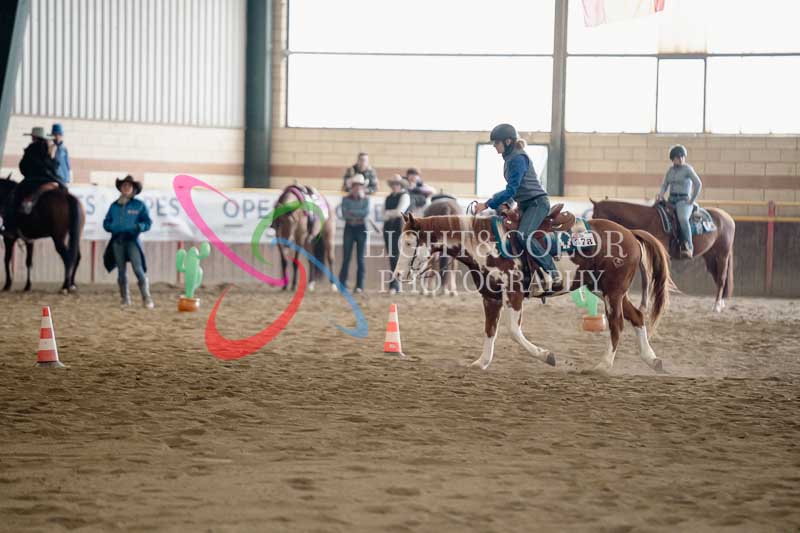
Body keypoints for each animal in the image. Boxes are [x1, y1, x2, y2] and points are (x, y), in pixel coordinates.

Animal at [392, 208, 672, 373]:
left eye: (409, 243)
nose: (396, 275)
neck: (485, 243)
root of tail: (630, 233)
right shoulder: (491, 297)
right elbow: (490, 330)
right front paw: (481, 362)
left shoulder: (514, 294)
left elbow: (514, 332)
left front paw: (547, 356)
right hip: (603, 289)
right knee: (636, 316)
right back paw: (652, 359)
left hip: (612, 292)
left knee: (617, 324)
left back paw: (603, 365)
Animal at [591, 199, 735, 313]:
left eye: (596, 216)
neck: (647, 220)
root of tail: (727, 217)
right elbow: (646, 278)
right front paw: (643, 306)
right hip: (710, 256)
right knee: (717, 277)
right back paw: (721, 303)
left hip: (722, 254)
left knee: (722, 277)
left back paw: (716, 306)